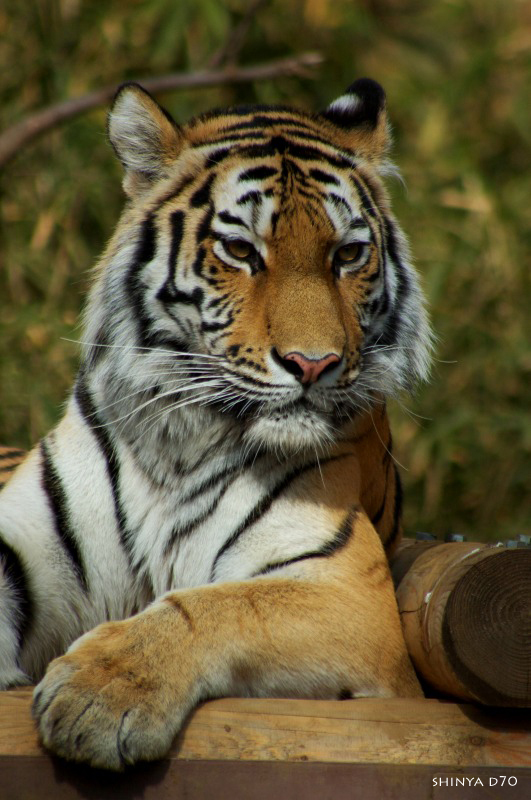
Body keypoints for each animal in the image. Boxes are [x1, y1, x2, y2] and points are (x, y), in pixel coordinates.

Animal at [0, 79, 432, 768]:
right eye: (240, 251)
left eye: (347, 255)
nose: (315, 364)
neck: (174, 443)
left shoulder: (348, 594)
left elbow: (220, 606)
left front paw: (100, 694)